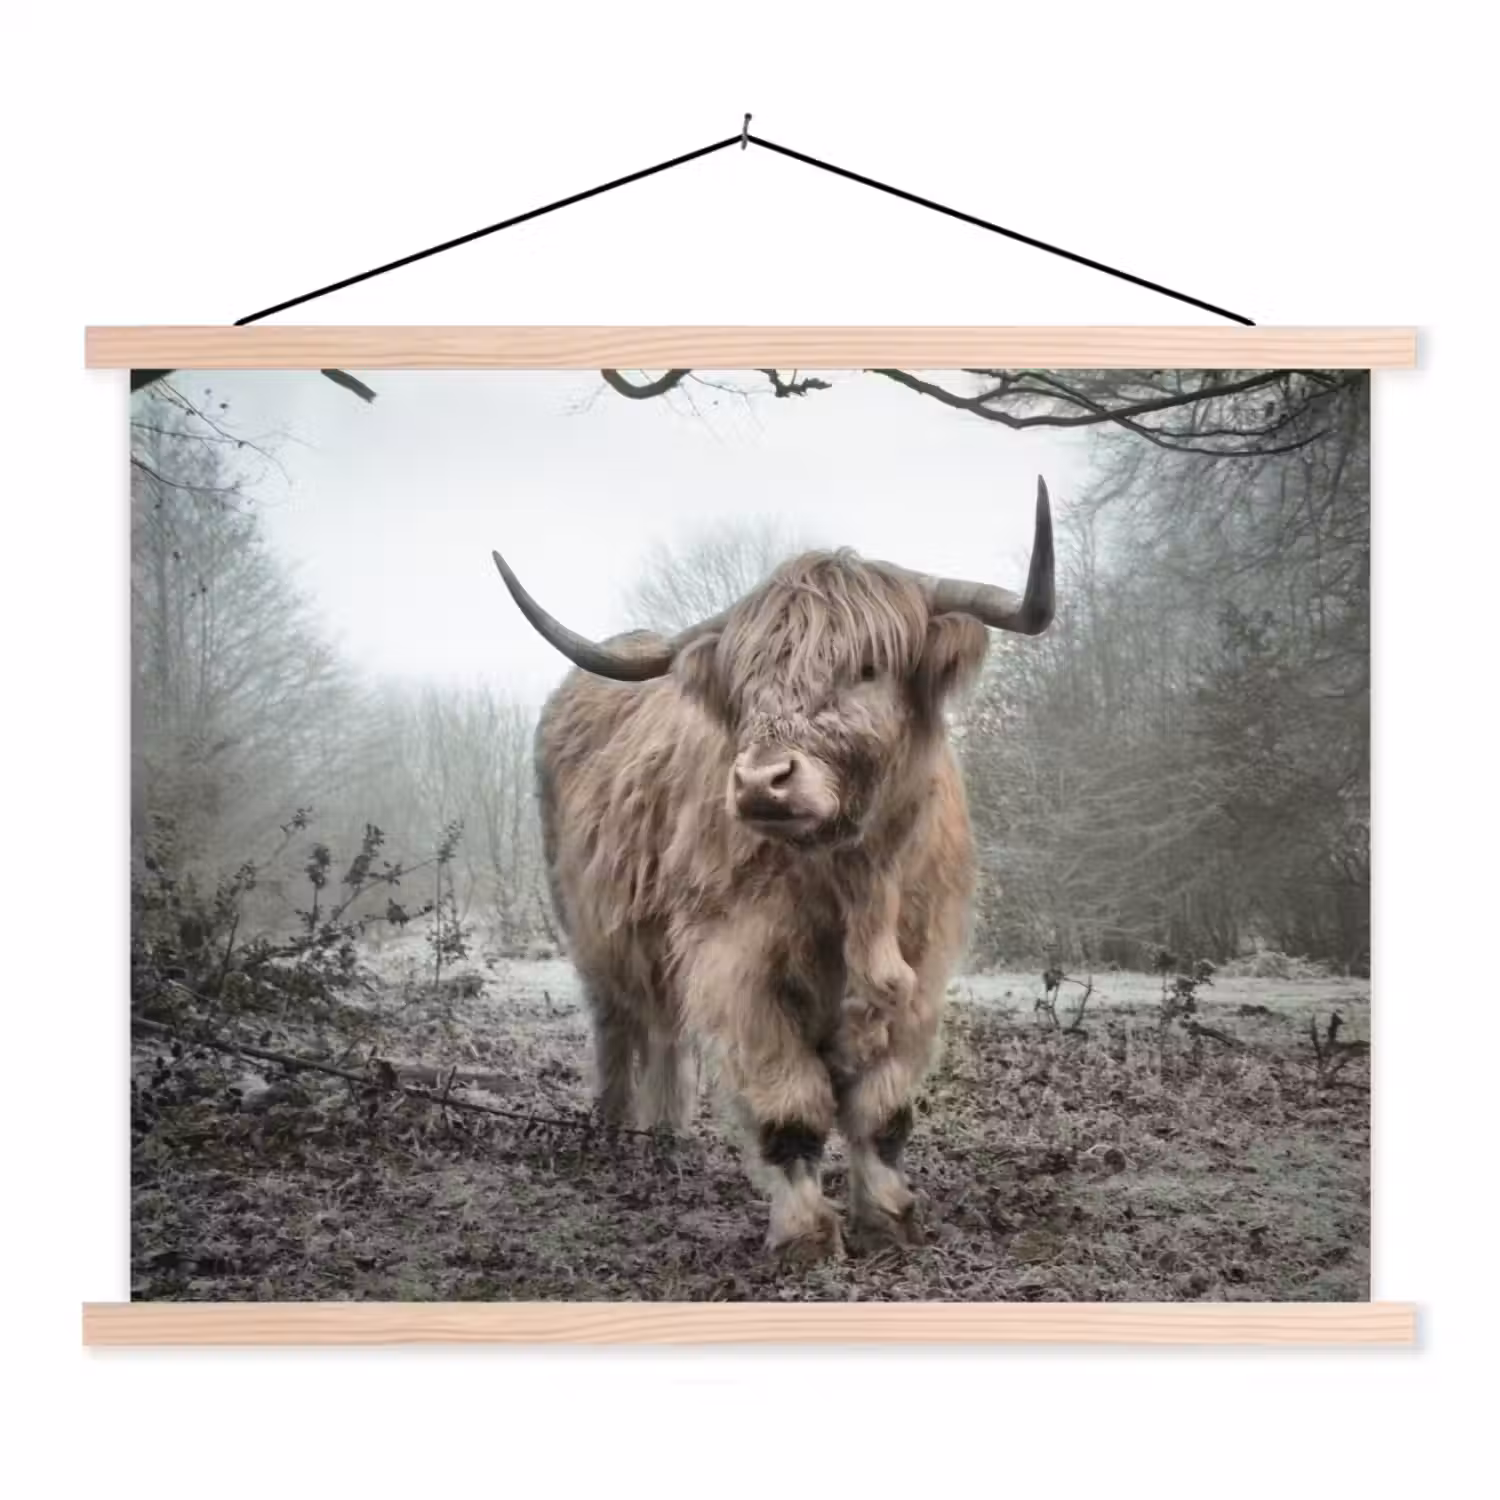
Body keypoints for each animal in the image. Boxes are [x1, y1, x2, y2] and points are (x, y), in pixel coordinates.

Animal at [490, 478, 1055, 1263]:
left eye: (867, 668)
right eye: (747, 683)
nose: (762, 781)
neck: (855, 880)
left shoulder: (922, 968)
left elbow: (883, 1110)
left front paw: (888, 1217)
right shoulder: (737, 965)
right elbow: (791, 1107)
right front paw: (806, 1234)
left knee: (664, 1034)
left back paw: (665, 1139)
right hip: (591, 933)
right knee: (619, 1029)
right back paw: (615, 1134)